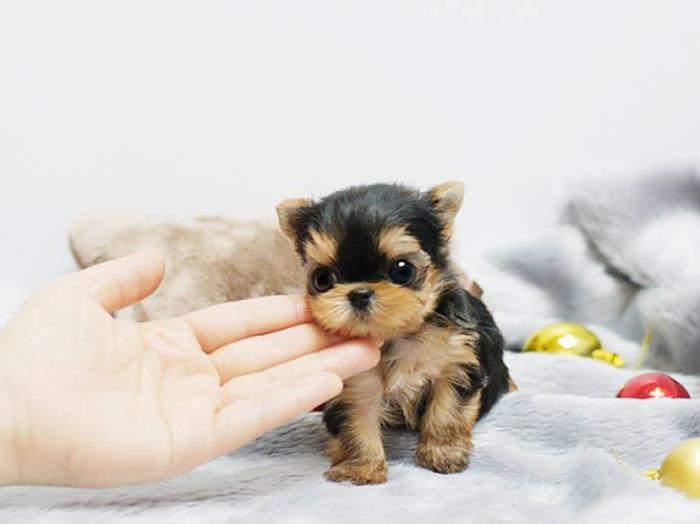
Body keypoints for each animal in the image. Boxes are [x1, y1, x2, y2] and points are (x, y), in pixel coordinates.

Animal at [274, 182, 516, 486]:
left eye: (402, 270)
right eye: (322, 279)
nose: (359, 293)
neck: (397, 335)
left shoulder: (455, 362)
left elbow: (447, 411)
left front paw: (443, 453)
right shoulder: (357, 386)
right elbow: (358, 424)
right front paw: (362, 468)